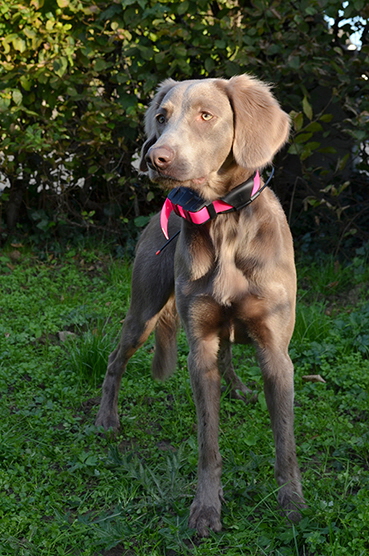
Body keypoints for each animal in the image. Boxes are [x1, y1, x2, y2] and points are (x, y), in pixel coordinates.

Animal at [95, 73, 304, 536]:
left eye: (206, 116)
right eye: (161, 116)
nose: (155, 158)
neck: (222, 219)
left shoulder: (276, 350)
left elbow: (285, 439)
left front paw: (292, 502)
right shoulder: (199, 347)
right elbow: (208, 441)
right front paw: (206, 508)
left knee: (230, 355)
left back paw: (240, 389)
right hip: (143, 310)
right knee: (115, 359)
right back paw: (106, 420)